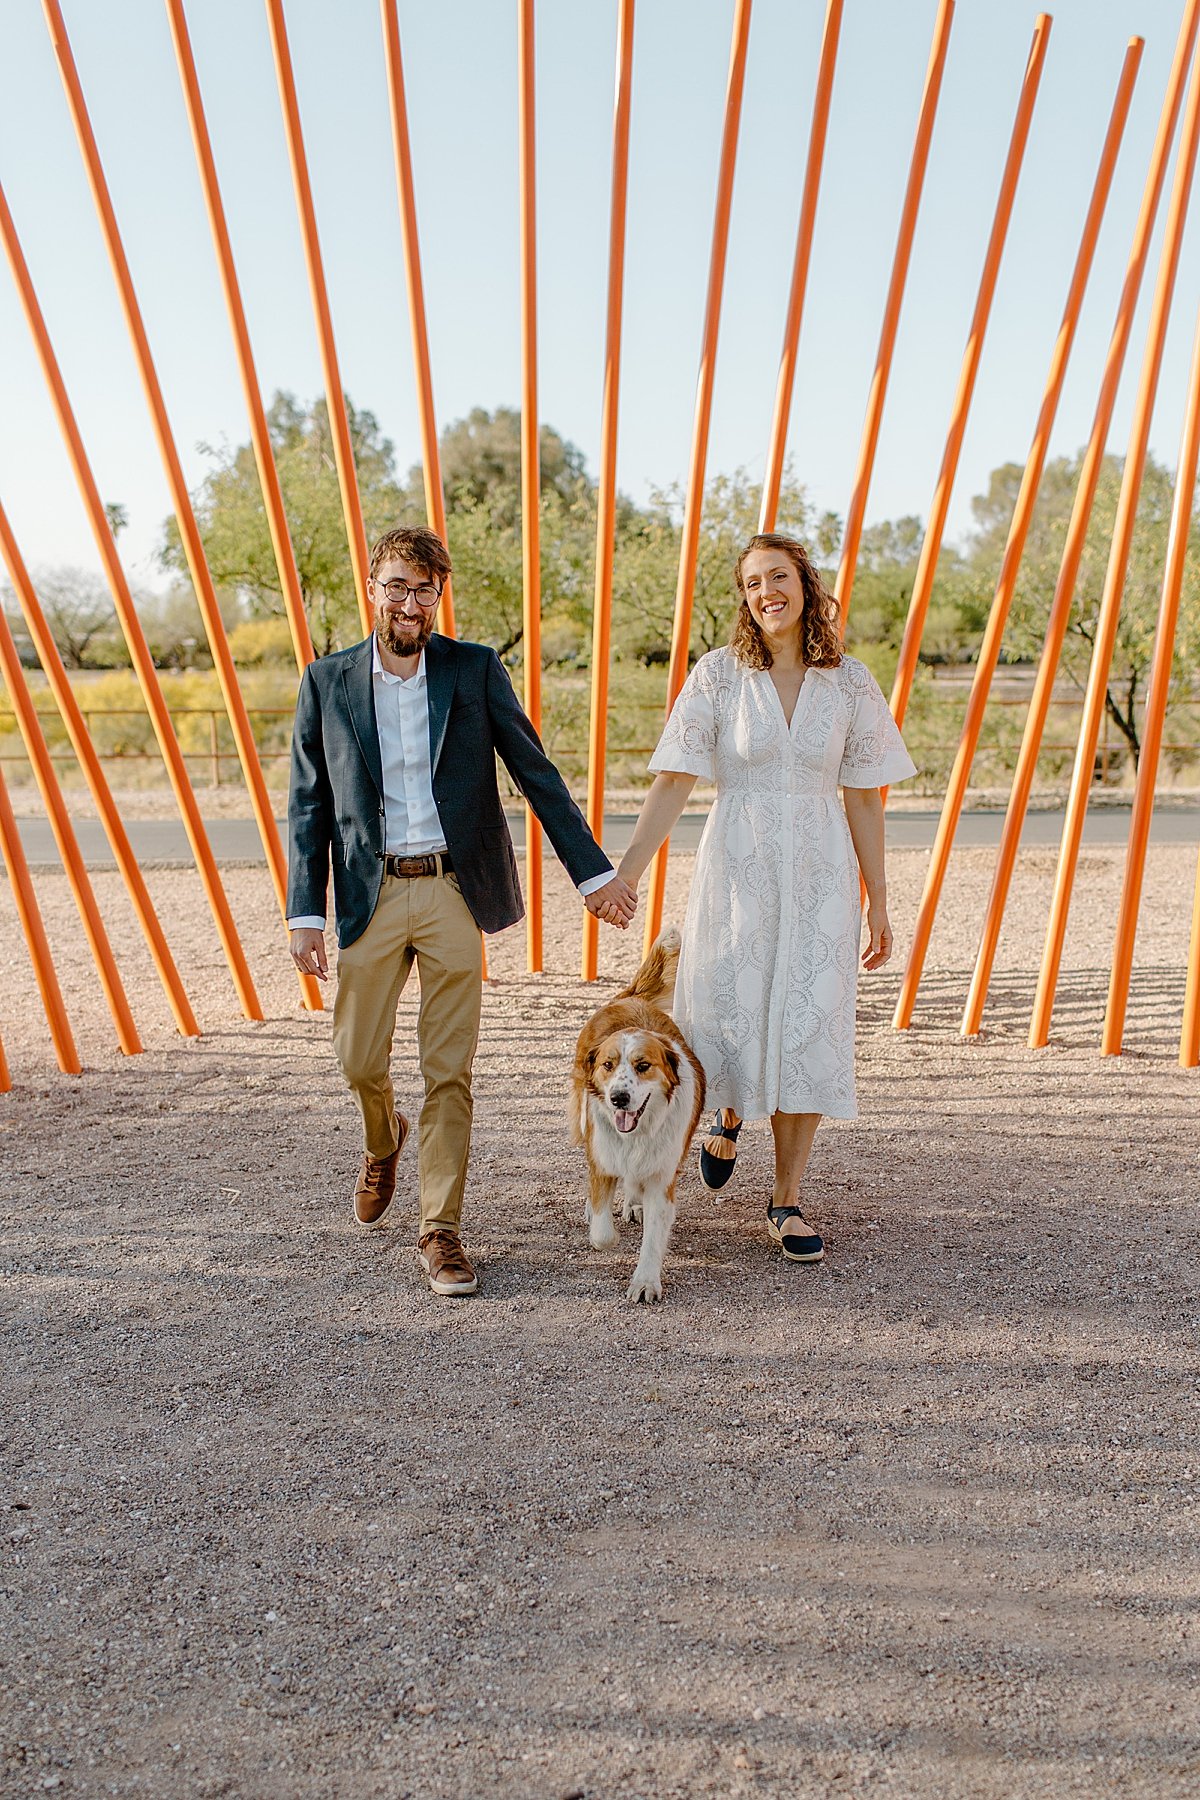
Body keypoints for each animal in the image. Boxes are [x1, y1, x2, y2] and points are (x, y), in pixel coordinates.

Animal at [572, 936, 705, 1303]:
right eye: (608, 1065)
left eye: (643, 1066)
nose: (619, 1098)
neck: (637, 1133)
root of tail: (630, 998)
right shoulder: (603, 1156)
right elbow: (602, 1234)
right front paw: (600, 1220)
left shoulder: (662, 1175)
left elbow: (653, 1238)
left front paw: (645, 1282)